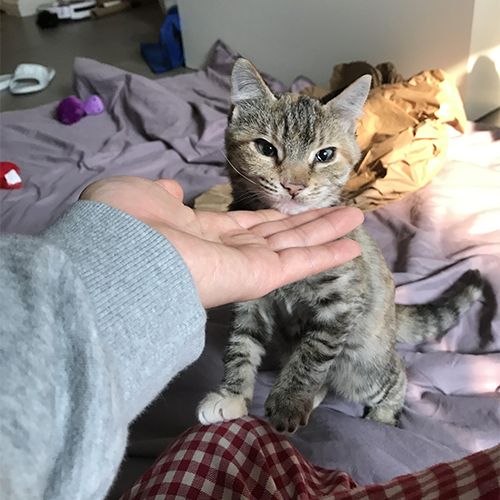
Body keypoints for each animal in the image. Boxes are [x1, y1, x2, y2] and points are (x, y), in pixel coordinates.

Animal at [196, 59, 480, 434]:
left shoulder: (344, 301)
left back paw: (382, 418)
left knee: (395, 375)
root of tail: (394, 316)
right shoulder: (252, 299)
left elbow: (313, 353)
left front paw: (289, 401)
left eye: (325, 155)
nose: (294, 186)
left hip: (360, 364)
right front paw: (232, 396)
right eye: (266, 148)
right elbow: (242, 343)